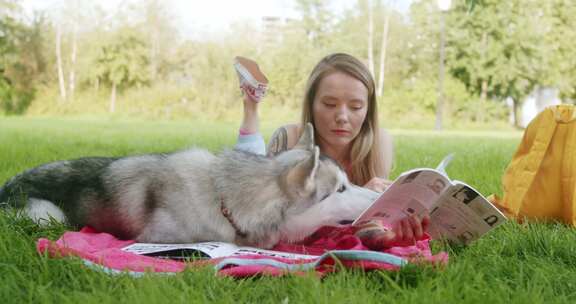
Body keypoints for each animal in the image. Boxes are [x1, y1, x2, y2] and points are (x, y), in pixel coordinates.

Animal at [1, 123, 378, 247]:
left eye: (349, 183)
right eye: (340, 189)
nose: (377, 194)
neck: (222, 199)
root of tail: (5, 185)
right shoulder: (158, 238)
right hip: (48, 217)